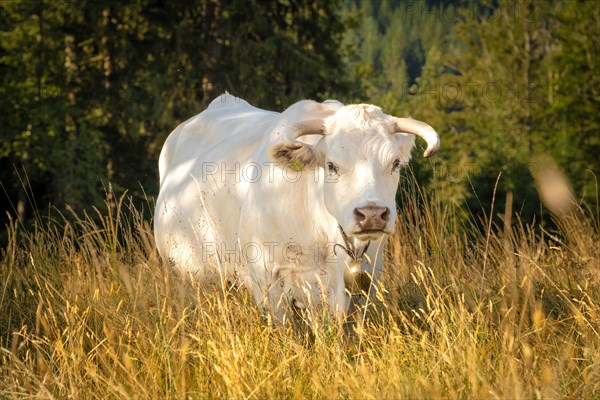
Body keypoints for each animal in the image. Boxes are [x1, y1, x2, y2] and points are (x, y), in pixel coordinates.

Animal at [152, 92, 438, 324]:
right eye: (331, 165)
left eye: (395, 163)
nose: (372, 215)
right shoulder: (267, 282)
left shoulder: (365, 282)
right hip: (189, 277)